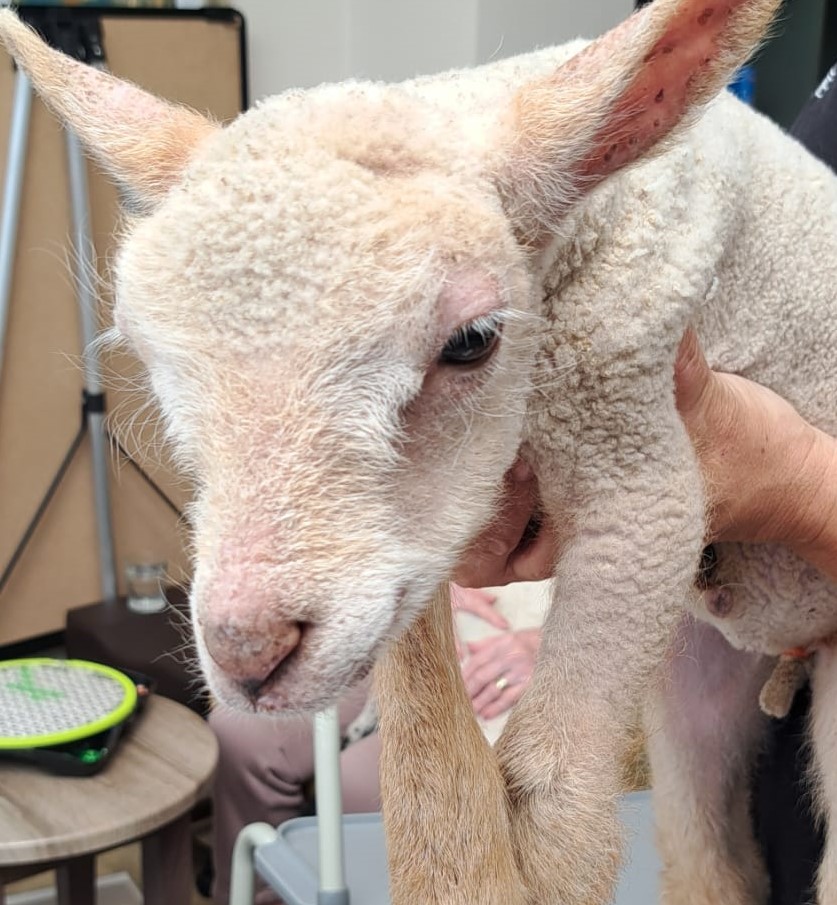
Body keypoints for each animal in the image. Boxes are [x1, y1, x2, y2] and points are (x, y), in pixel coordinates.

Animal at [1, 0, 835, 901]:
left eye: (471, 341)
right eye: (147, 357)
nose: (248, 650)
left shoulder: (631, 432)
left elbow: (552, 803)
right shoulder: (410, 550)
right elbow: (429, 789)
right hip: (697, 675)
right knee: (704, 845)